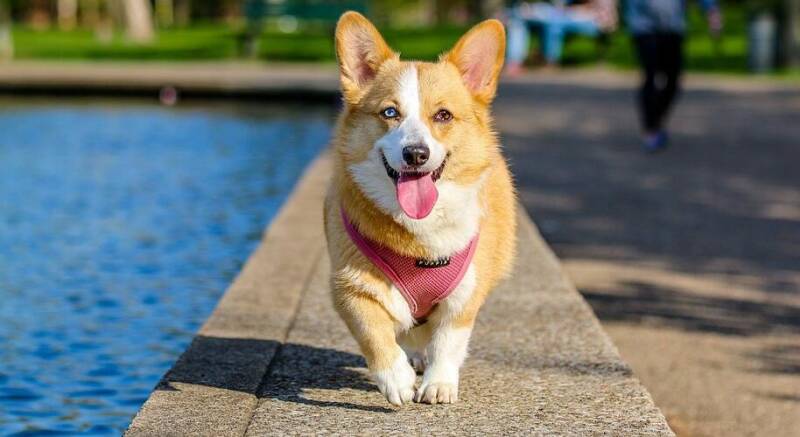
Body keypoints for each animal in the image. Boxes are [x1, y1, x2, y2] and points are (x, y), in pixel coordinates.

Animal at [324, 11, 520, 406]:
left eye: (443, 115)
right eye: (389, 112)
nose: (416, 154)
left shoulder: (465, 295)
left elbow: (448, 341)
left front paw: (439, 384)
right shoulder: (349, 287)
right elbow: (374, 333)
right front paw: (396, 378)